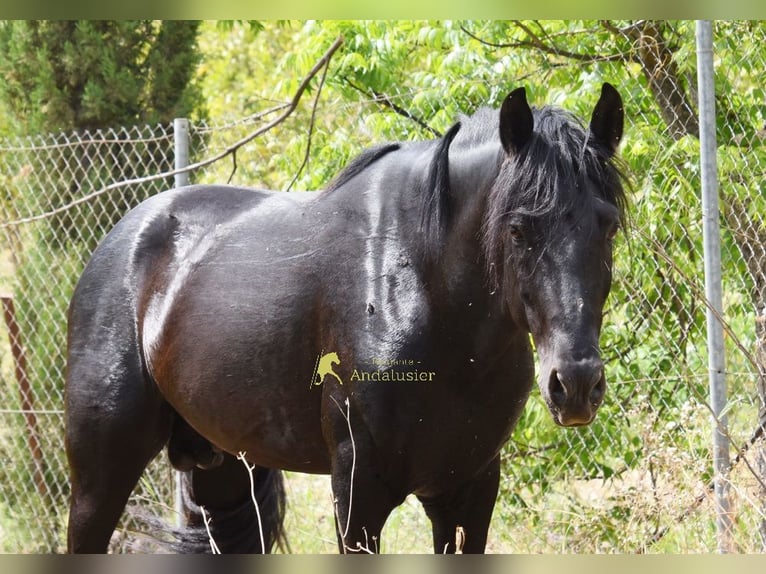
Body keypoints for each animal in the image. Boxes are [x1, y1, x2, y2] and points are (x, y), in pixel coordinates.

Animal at [64, 83, 628, 554]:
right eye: (517, 230)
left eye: (609, 225)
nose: (576, 384)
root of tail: (122, 236)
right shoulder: (358, 494)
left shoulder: (468, 491)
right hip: (99, 478)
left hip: (221, 471)